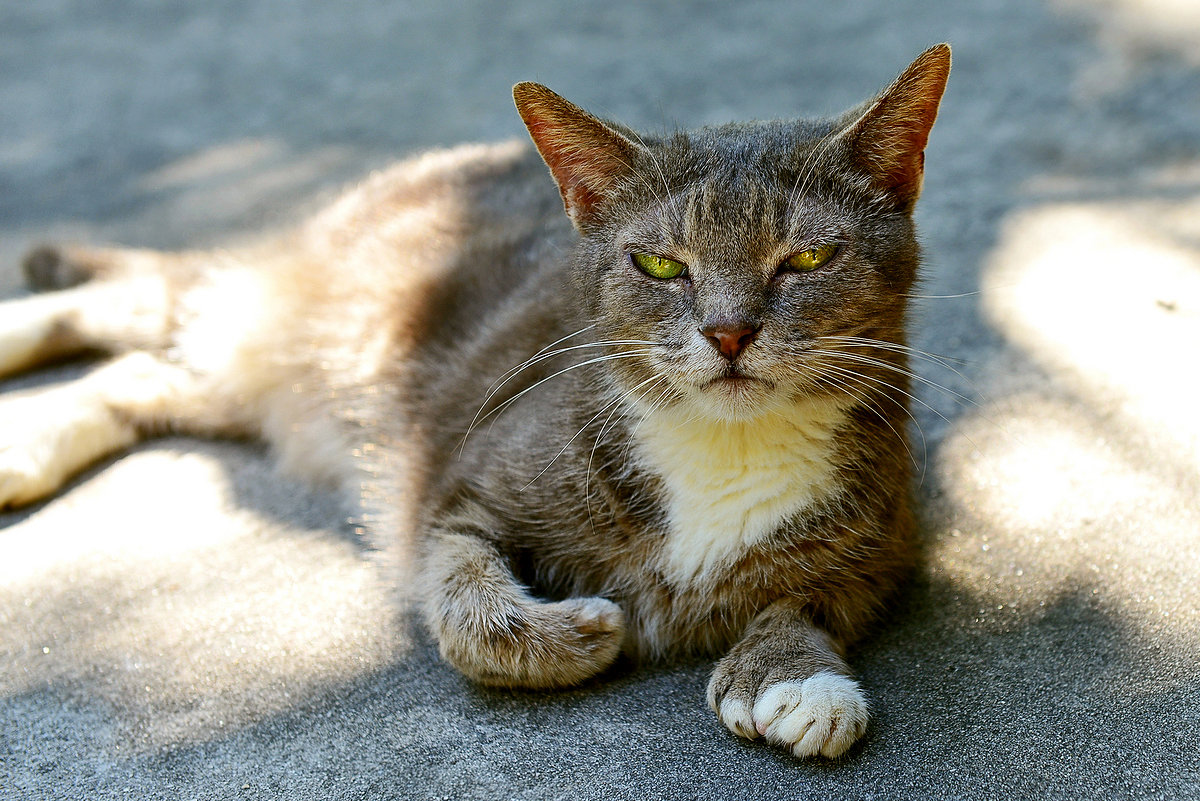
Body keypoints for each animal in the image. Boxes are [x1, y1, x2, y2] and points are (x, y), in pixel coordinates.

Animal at [4, 42, 950, 757]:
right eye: (659, 265)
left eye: (807, 259)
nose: (727, 332)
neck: (725, 448)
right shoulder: (455, 483)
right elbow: (462, 601)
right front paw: (577, 631)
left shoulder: (886, 537)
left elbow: (815, 593)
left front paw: (792, 672)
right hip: (277, 322)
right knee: (150, 304)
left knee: (144, 372)